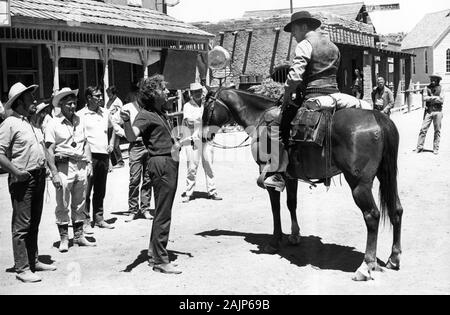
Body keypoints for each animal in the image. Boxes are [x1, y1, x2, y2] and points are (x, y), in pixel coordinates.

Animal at [203, 88, 404, 282]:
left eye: (206, 108)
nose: (204, 136)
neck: (258, 117)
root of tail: (377, 118)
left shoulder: (268, 174)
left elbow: (275, 208)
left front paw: (274, 242)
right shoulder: (290, 176)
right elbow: (291, 203)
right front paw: (294, 235)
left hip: (359, 184)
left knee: (372, 215)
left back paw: (365, 267)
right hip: (386, 176)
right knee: (397, 210)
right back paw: (394, 258)